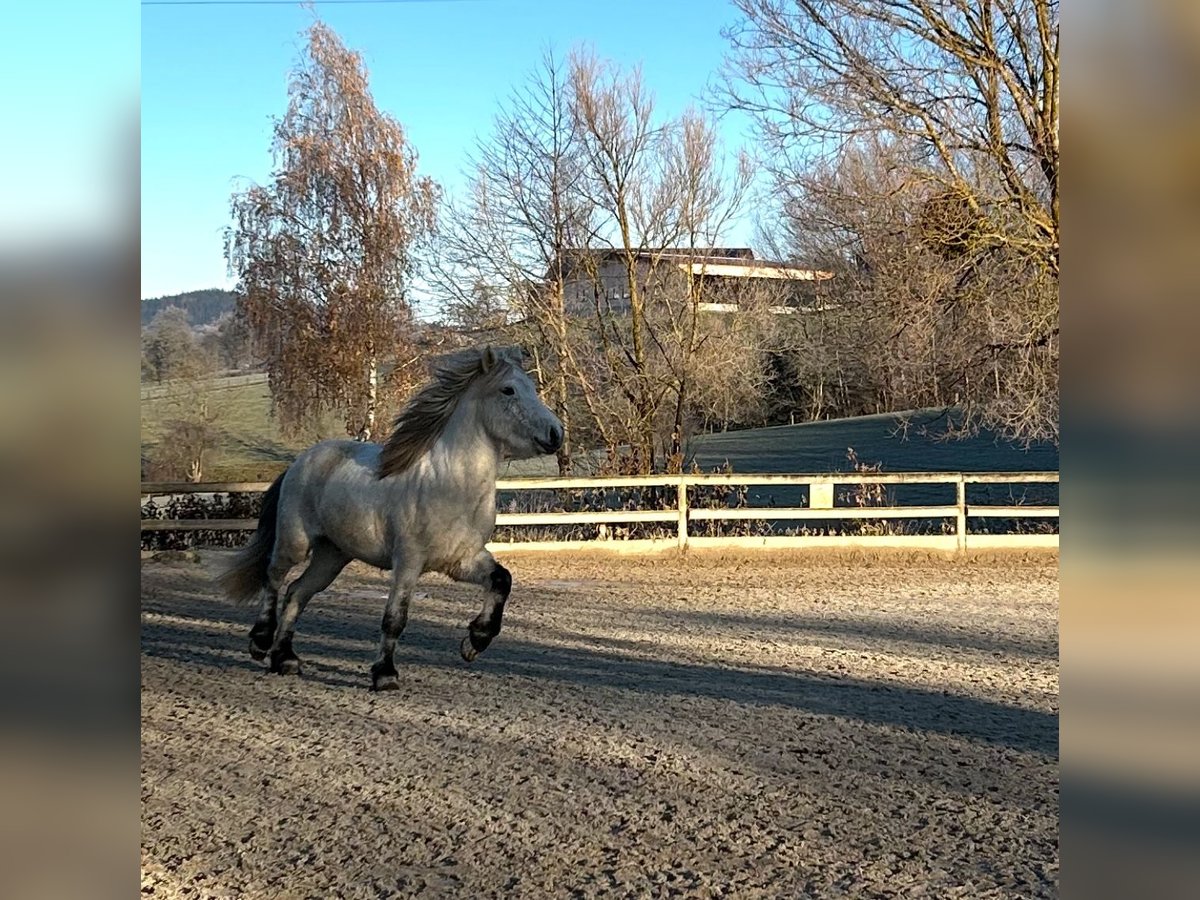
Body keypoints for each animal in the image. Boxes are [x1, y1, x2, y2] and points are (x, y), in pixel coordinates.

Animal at [218, 345, 564, 691]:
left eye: (532, 388)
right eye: (508, 390)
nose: (556, 434)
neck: (450, 485)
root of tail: (300, 461)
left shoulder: (461, 560)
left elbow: (502, 580)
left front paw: (474, 642)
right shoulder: (408, 561)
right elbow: (395, 618)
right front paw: (385, 675)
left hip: (332, 556)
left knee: (297, 592)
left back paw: (285, 659)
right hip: (295, 542)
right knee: (274, 578)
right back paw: (261, 643)